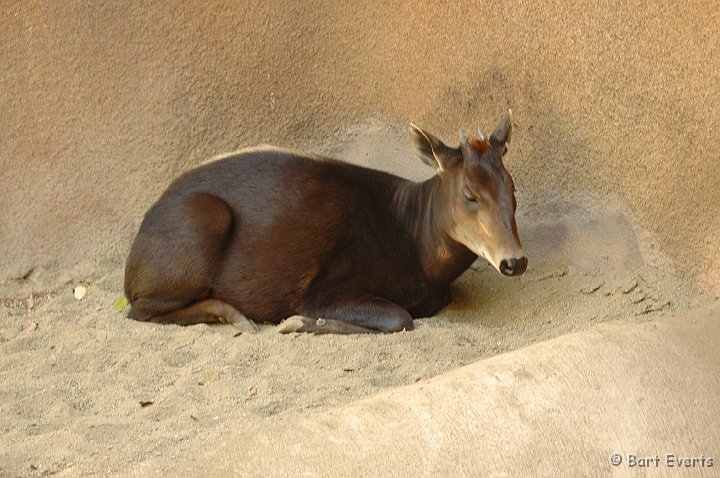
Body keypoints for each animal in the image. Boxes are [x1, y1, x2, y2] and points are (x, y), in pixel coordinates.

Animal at [124, 112, 524, 334]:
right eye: (469, 195)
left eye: (513, 186)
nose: (515, 261)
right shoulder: (325, 285)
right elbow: (399, 317)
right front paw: (296, 323)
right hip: (202, 219)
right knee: (139, 309)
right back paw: (237, 317)